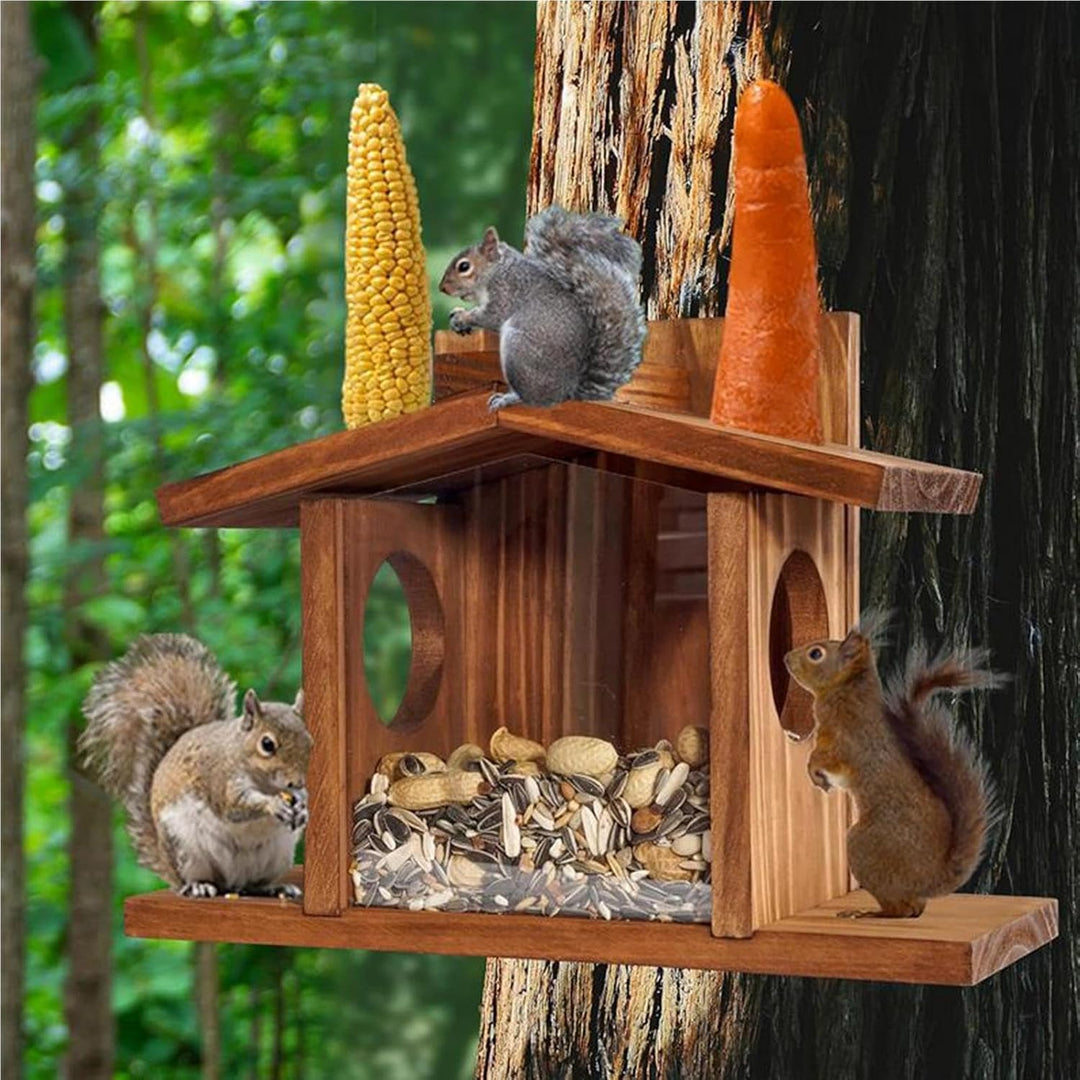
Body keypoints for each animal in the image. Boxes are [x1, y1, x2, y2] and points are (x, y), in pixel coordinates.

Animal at [79, 633, 312, 899]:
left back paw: (275, 888)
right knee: (199, 879)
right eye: (267, 744)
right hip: (185, 849)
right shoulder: (221, 780)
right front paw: (273, 805)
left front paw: (303, 807)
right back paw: (199, 885)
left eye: (310, 741)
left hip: (277, 855)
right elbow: (235, 805)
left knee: (251, 885)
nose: (296, 782)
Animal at [439, 205, 646, 411]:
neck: (497, 270)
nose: (442, 288)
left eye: (464, 266)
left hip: (518, 349)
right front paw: (458, 314)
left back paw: (508, 398)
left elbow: (491, 316)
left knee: (533, 399)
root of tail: (566, 392)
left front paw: (463, 318)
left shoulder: (506, 292)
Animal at [784, 618, 1000, 918]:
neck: (847, 690)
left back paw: (870, 913)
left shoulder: (845, 741)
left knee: (901, 910)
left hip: (866, 848)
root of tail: (930, 879)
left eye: (816, 653)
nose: (785, 657)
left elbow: (825, 759)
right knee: (914, 908)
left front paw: (813, 771)